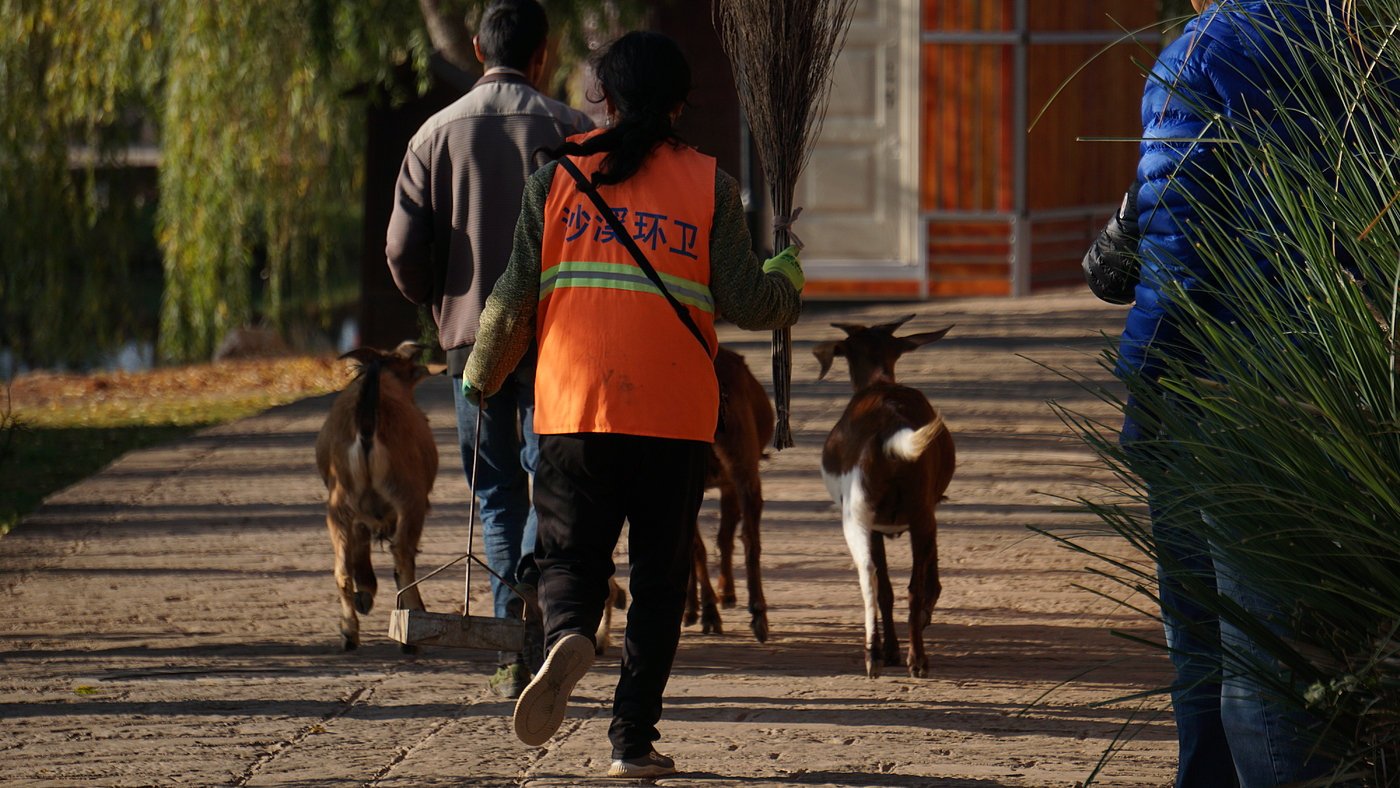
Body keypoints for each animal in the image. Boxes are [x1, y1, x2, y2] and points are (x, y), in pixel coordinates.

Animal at [317, 342, 436, 649]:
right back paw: (411, 629)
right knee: (402, 555)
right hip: (409, 500)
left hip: (339, 506)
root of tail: (367, 426)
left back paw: (349, 631)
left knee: (342, 568)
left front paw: (365, 594)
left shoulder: (359, 514)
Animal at [817, 316, 957, 677]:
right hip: (917, 517)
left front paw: (892, 649)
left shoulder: (879, 528)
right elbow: (911, 587)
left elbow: (889, 588)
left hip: (858, 518)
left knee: (870, 576)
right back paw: (913, 659)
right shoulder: (917, 520)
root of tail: (890, 430)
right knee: (909, 587)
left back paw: (876, 655)